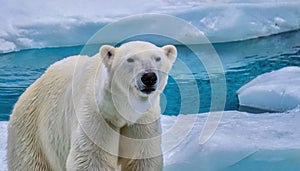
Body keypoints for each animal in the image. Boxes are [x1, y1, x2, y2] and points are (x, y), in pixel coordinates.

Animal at [7, 40, 177, 170]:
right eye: (130, 59)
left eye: (157, 58)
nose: (148, 77)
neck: (122, 111)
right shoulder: (97, 115)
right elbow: (91, 159)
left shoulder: (142, 120)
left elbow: (142, 158)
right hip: (32, 134)